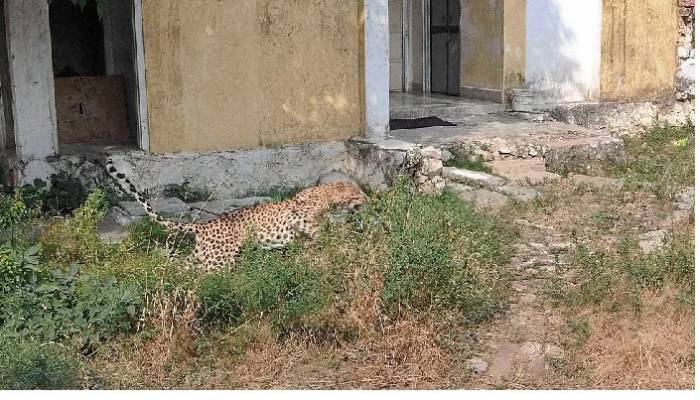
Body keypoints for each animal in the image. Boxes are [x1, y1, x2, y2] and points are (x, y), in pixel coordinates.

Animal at [104, 159, 367, 270]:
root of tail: (203, 225)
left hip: (202, 255)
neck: (327, 197)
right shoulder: (301, 219)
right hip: (221, 258)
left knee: (181, 266)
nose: (368, 200)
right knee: (203, 274)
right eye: (359, 194)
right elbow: (322, 232)